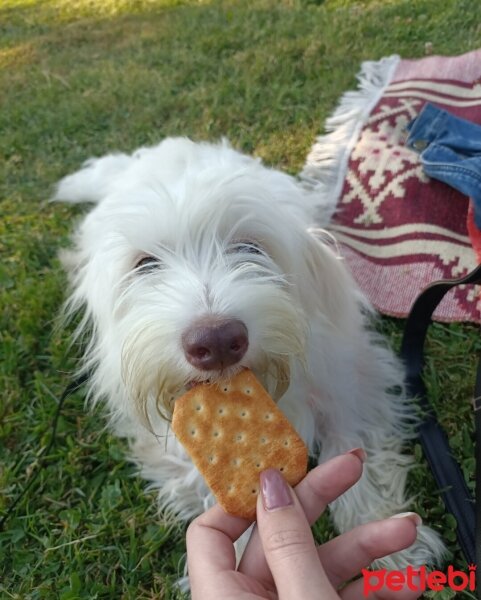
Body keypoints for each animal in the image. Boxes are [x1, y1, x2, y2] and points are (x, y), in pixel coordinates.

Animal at [54, 138, 444, 576]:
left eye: (249, 248)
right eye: (145, 265)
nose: (217, 341)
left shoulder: (350, 380)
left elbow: (354, 449)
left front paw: (386, 537)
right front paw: (239, 560)